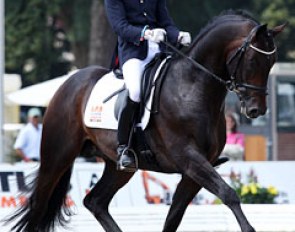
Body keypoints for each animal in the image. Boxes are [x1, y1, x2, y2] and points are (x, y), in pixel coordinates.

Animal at [6, 10, 286, 232]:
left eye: (272, 62)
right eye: (253, 60)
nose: (256, 110)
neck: (192, 87)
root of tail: (69, 82)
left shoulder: (195, 169)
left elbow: (174, 216)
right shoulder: (189, 158)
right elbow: (229, 194)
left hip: (118, 167)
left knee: (95, 202)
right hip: (57, 157)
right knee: (39, 204)